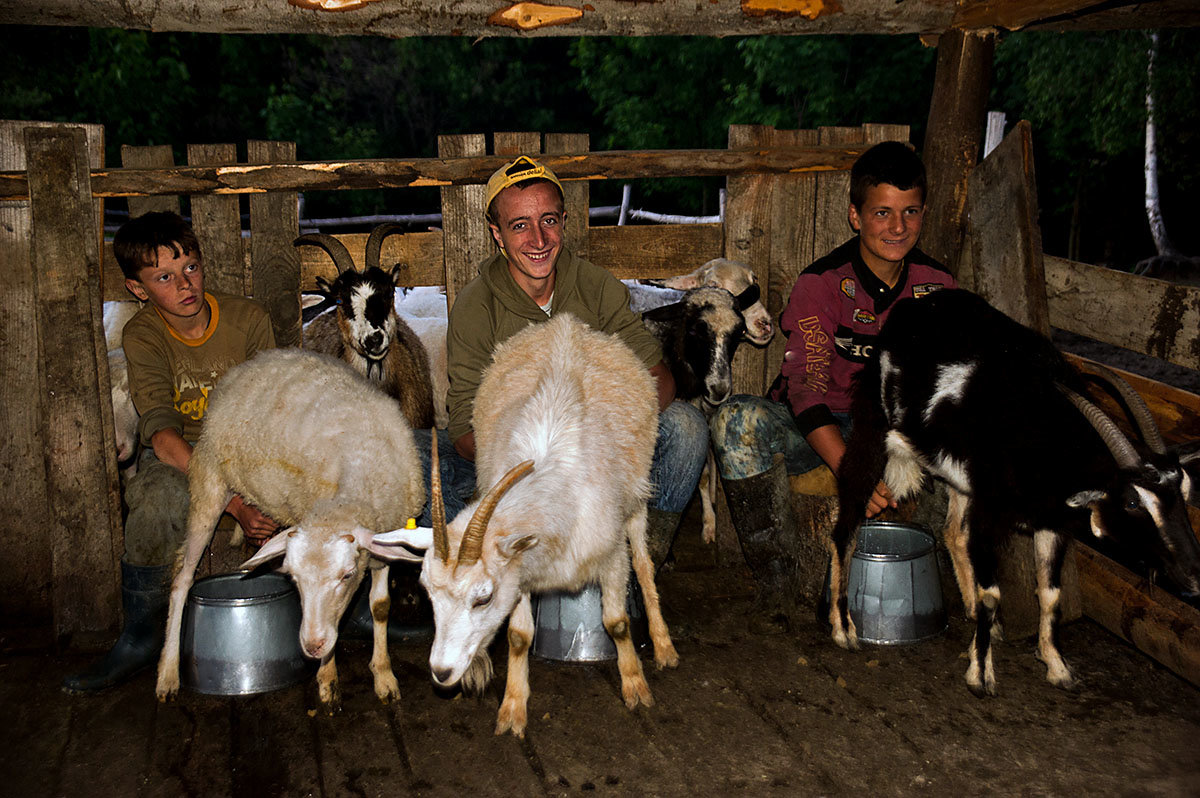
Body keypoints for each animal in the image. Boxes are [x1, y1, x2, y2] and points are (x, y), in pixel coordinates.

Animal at [153, 348, 427, 710]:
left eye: (347, 575)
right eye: (293, 578)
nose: (312, 646)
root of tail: (249, 364)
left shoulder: (382, 543)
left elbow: (380, 607)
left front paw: (383, 675)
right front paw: (327, 678)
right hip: (208, 482)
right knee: (182, 577)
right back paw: (168, 673)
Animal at [388, 314, 681, 739]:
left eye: (483, 598)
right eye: (427, 592)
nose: (441, 672)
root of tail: (568, 325)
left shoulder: (610, 556)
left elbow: (617, 622)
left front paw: (635, 686)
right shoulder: (520, 571)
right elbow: (518, 636)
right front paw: (512, 708)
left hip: (637, 500)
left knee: (644, 564)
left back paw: (663, 646)